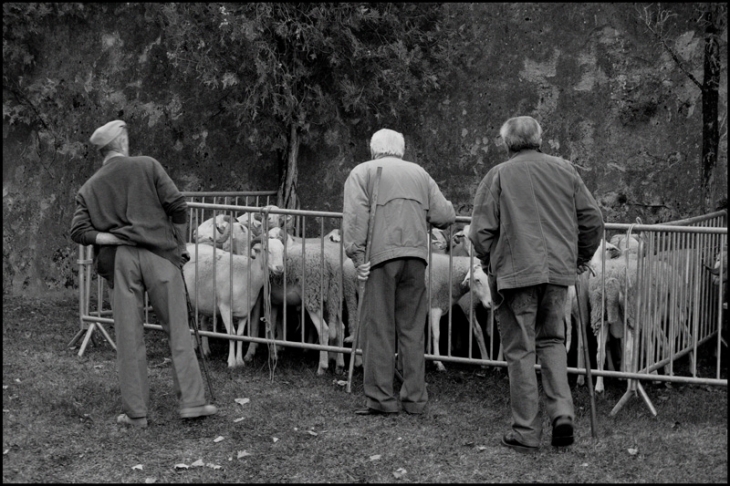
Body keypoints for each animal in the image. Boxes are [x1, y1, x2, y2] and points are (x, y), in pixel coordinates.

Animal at [182, 236, 284, 368]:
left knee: (201, 322)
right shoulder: (224, 307)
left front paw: (239, 361)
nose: (279, 268)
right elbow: (231, 333)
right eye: (266, 249)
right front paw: (231, 362)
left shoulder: (245, 311)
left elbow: (240, 335)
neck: (247, 275)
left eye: (282, 250)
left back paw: (204, 350)